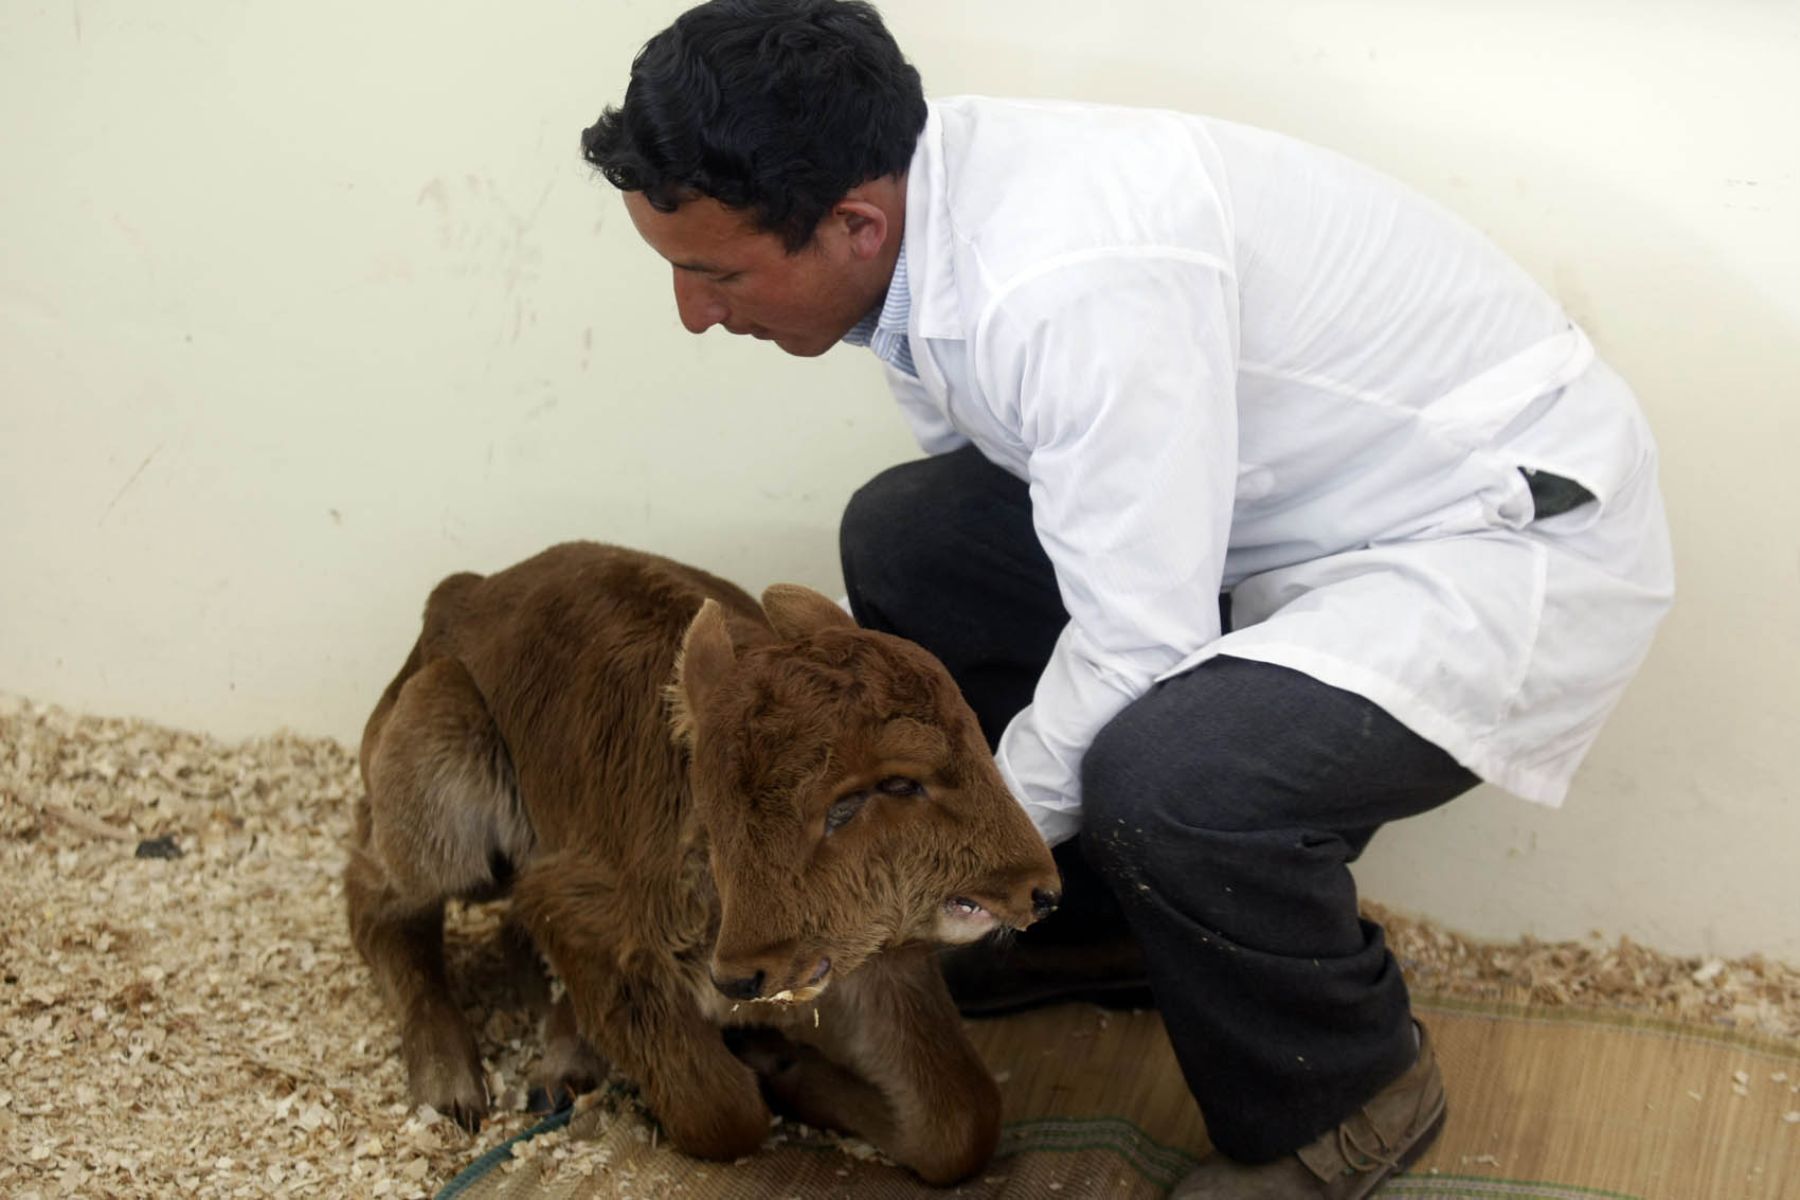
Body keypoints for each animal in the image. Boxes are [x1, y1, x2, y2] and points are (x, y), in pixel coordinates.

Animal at [343, 550, 1058, 1187]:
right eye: (895, 785)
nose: (1041, 888)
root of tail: (461, 591)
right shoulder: (573, 907)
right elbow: (719, 1110)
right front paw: (762, 1069)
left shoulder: (876, 963)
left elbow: (960, 1121)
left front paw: (781, 1063)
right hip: (440, 748)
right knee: (377, 900)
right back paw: (452, 1087)